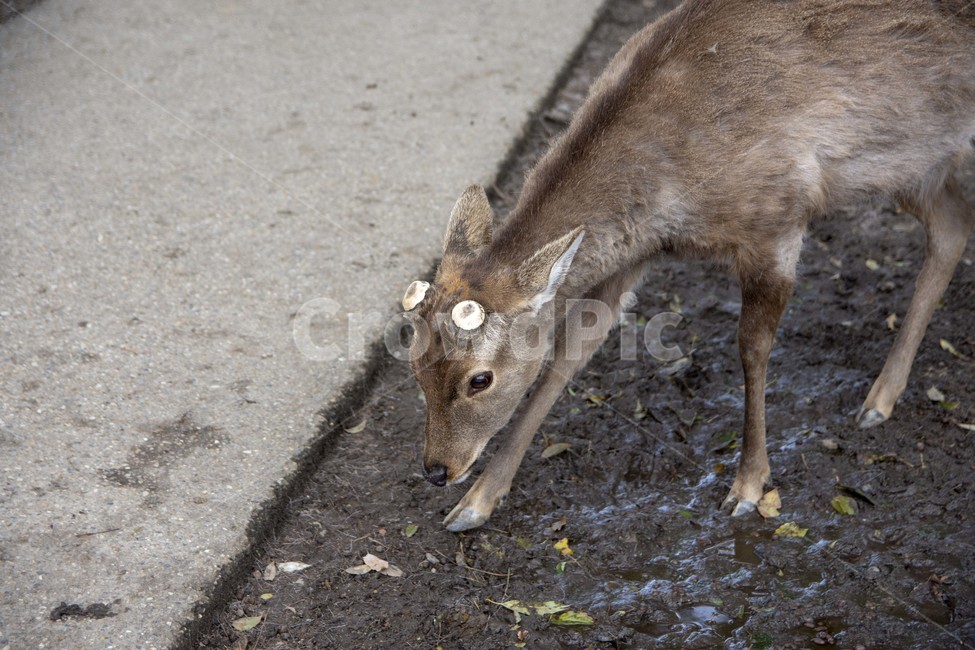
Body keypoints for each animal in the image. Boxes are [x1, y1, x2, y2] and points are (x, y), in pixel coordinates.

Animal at [400, 0, 975, 532]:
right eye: (413, 364)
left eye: (480, 379)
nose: (437, 470)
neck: (670, 199)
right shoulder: (631, 256)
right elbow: (567, 358)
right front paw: (476, 504)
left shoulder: (777, 222)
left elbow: (752, 348)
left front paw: (748, 484)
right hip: (912, 162)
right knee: (951, 229)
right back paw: (881, 398)